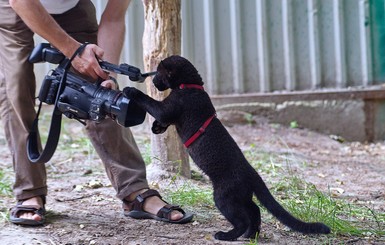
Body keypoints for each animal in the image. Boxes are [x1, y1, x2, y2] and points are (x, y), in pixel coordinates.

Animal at [122, 55, 328, 241]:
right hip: (241, 197)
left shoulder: (169, 108)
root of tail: (252, 172)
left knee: (242, 219)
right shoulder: (170, 114)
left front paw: (131, 91)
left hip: (224, 197)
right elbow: (162, 119)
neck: (190, 85)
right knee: (255, 210)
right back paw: (250, 235)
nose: (154, 82)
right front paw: (156, 128)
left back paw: (226, 235)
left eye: (158, 73)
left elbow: (152, 104)